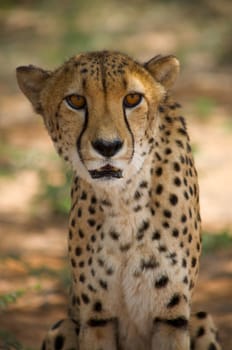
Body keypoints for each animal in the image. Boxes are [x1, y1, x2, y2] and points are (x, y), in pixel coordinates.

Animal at [16, 50, 221, 350]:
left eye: (133, 99)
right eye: (76, 101)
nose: (108, 146)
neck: (124, 200)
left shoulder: (171, 316)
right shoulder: (96, 318)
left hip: (201, 319)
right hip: (62, 325)